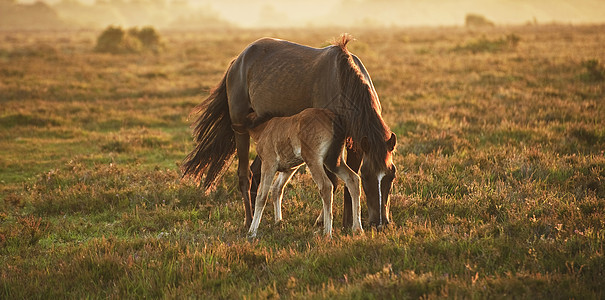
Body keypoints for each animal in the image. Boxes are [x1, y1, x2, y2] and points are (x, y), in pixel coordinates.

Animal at [180, 34, 396, 229]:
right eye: (367, 177)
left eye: (391, 176)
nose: (380, 223)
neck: (343, 84)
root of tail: (237, 61)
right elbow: (334, 182)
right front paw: (326, 222)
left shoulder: (355, 143)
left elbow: (347, 182)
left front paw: (347, 224)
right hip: (240, 128)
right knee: (244, 175)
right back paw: (249, 221)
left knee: (256, 173)